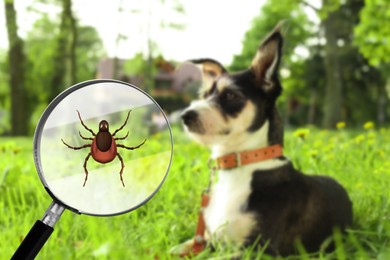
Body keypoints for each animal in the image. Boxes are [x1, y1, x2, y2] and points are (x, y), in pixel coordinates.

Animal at [177, 22, 354, 256]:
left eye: (231, 95)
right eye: (204, 96)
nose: (185, 116)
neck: (242, 163)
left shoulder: (258, 248)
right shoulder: (205, 240)